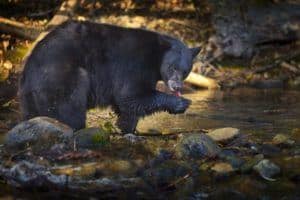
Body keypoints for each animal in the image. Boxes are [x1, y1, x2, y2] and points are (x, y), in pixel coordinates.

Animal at [19, 20, 200, 134]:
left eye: (186, 71)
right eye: (172, 67)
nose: (177, 87)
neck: (156, 56)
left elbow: (126, 105)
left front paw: (127, 128)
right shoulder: (135, 65)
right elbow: (131, 95)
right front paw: (181, 103)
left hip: (30, 97)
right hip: (59, 76)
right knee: (70, 103)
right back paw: (77, 127)